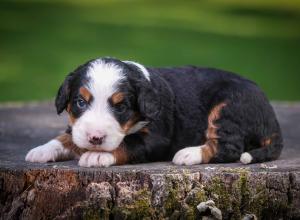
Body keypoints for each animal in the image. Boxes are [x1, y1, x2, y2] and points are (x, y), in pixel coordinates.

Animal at [24, 57, 282, 168]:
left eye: (121, 107)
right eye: (79, 102)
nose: (95, 139)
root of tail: (270, 114)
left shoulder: (157, 137)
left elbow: (129, 143)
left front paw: (97, 155)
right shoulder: (77, 127)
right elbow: (67, 136)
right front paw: (42, 149)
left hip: (228, 106)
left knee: (230, 147)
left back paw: (189, 154)